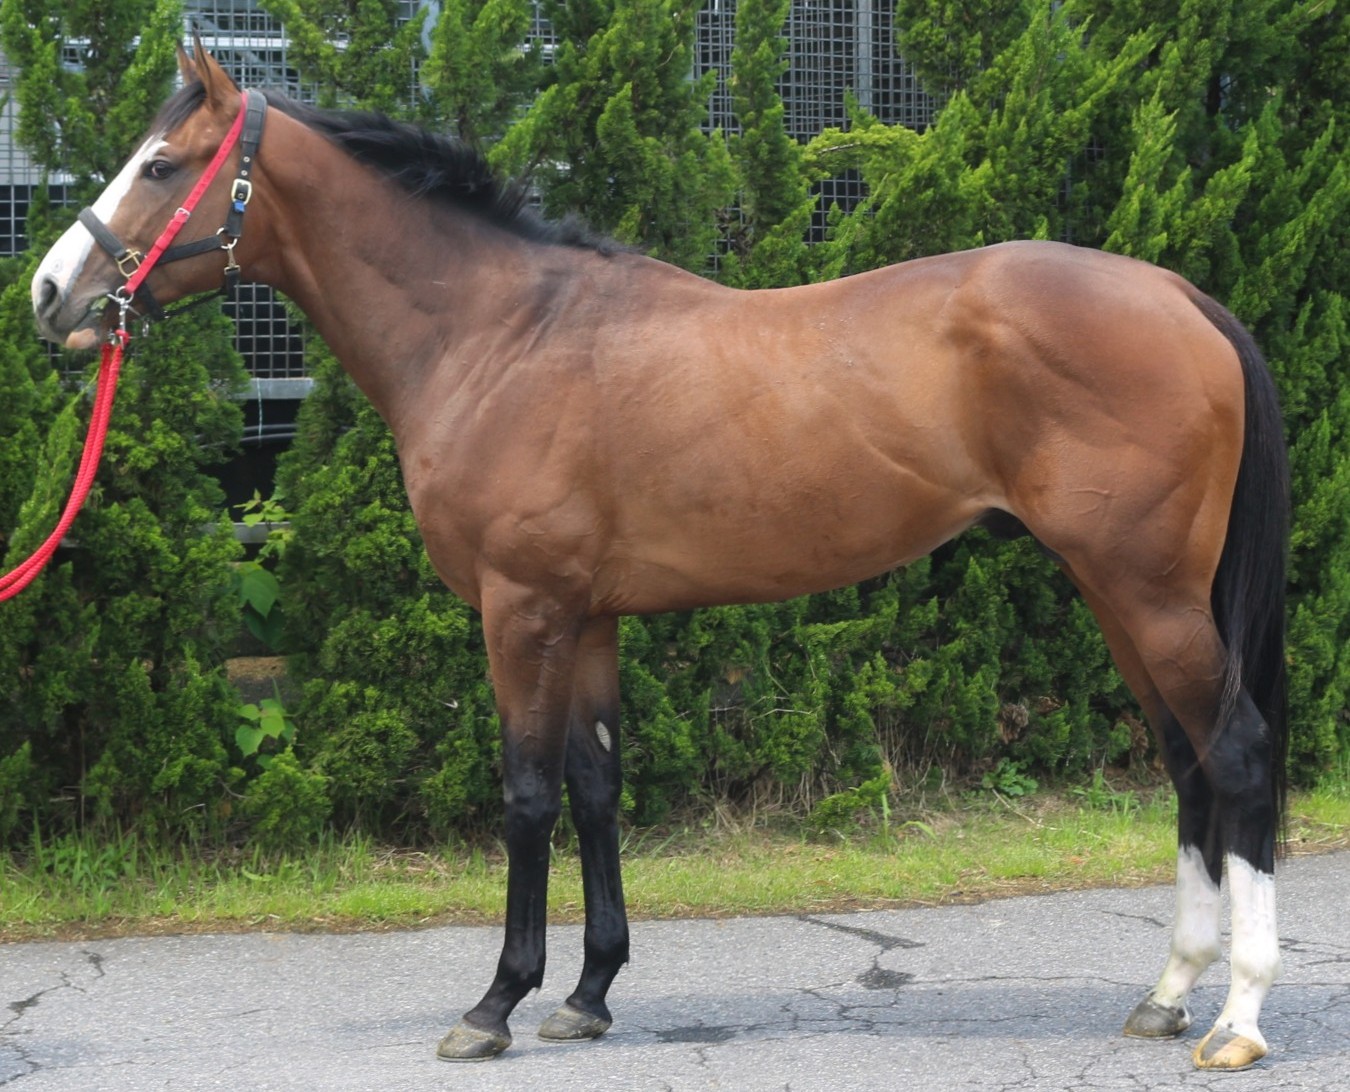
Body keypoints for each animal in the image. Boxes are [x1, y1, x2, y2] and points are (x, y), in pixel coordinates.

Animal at [30, 44, 1289, 1071]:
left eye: (160, 165)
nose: (51, 294)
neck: (500, 337)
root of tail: (1179, 294)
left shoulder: (522, 610)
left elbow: (527, 792)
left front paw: (495, 1005)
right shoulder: (587, 616)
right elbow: (596, 789)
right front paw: (588, 995)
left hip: (1146, 592)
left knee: (1235, 755)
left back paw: (1237, 1018)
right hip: (1121, 595)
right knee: (1185, 763)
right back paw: (1169, 993)